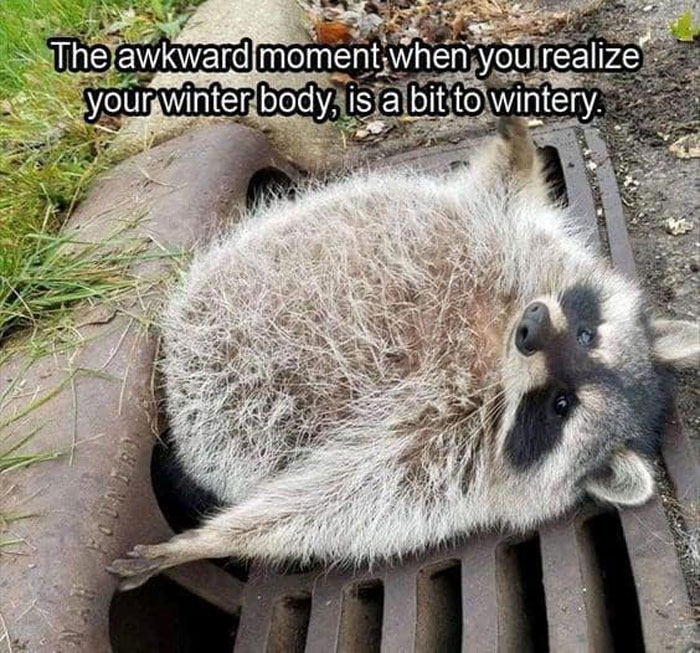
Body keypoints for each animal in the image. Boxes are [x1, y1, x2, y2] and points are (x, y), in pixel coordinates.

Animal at [110, 118, 698, 590]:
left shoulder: (444, 457)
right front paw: (518, 151)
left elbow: (331, 502)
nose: (531, 328)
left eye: (561, 405)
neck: (494, 354)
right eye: (586, 335)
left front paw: (212, 539)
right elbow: (502, 195)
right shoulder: (515, 248)